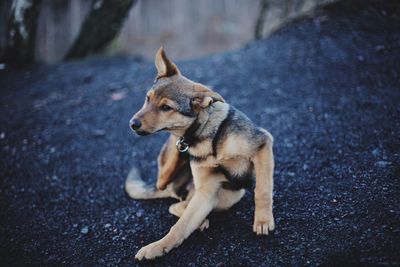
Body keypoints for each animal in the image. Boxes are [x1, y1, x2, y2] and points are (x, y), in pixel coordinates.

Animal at [126, 47, 274, 260]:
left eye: (166, 107)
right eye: (148, 98)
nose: (132, 124)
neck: (202, 135)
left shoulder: (262, 145)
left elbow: (262, 190)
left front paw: (262, 221)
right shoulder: (206, 191)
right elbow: (179, 228)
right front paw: (157, 247)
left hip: (230, 196)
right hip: (176, 177)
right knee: (176, 203)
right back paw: (200, 221)